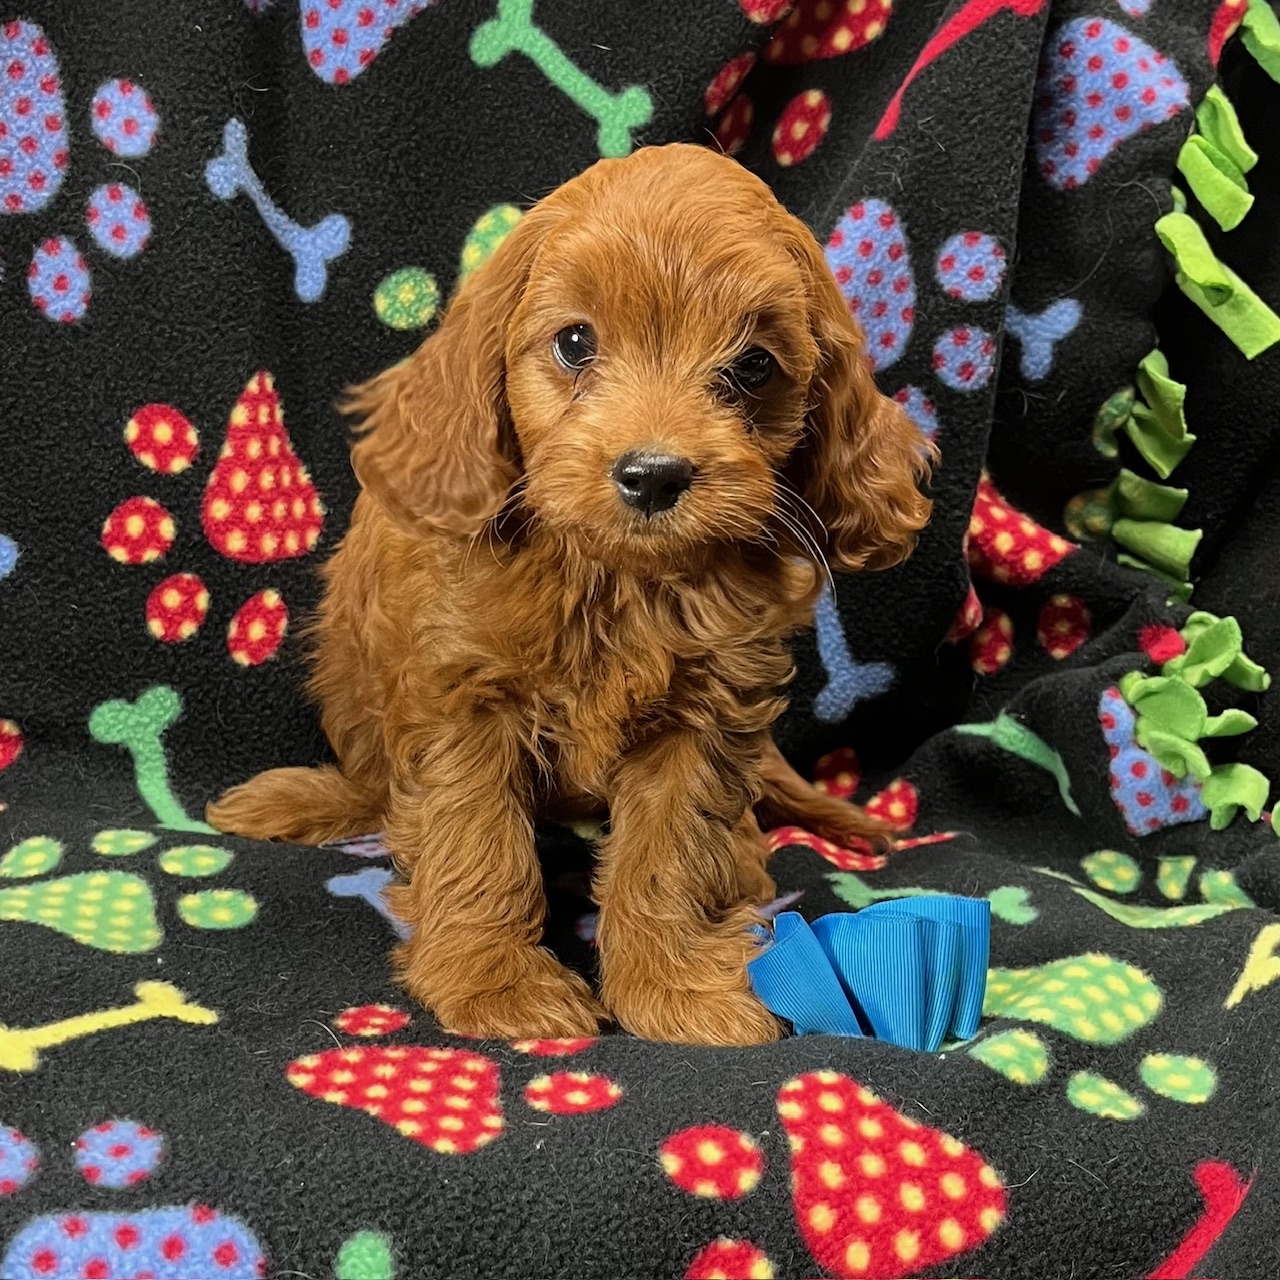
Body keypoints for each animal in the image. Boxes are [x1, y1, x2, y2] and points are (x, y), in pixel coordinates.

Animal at [207, 145, 931, 1044]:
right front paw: (495, 981)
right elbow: (476, 841)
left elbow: (669, 850)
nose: (653, 474)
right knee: (376, 784)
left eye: (754, 365)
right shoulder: (461, 700)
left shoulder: (707, 714)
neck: (610, 576)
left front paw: (671, 984)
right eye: (575, 341)